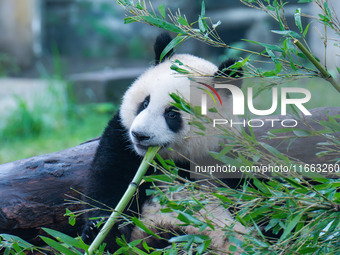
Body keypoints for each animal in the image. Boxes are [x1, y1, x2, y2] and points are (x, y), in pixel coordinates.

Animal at [82, 33, 247, 253]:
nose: (139, 135)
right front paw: (101, 231)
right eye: (144, 103)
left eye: (172, 114)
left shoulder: (229, 152)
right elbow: (109, 182)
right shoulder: (122, 142)